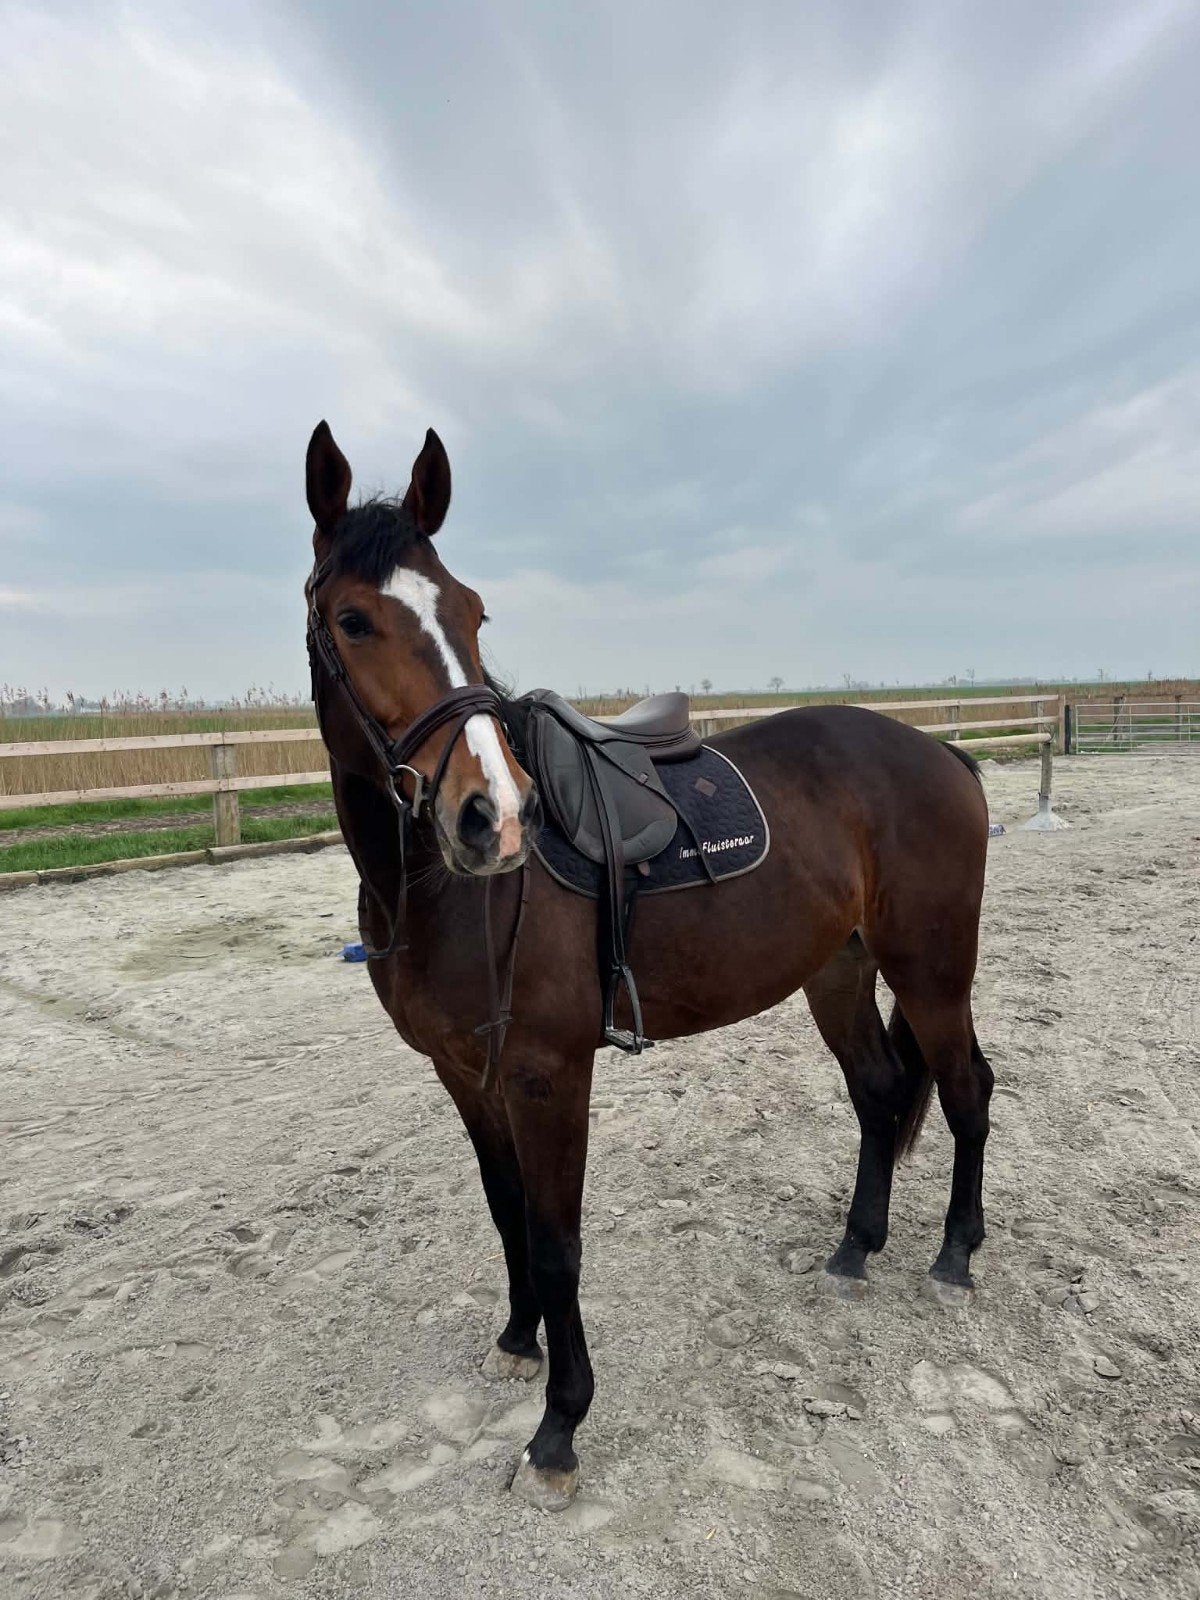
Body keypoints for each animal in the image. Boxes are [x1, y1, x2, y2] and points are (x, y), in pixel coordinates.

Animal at [302, 420, 995, 1512]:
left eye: (470, 610)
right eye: (353, 618)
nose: (491, 816)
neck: (441, 890)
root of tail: (944, 755)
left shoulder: (548, 1073)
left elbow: (557, 1242)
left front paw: (561, 1425)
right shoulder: (465, 1073)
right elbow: (506, 1215)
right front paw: (517, 1342)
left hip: (932, 970)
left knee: (968, 1090)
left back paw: (956, 1253)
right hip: (838, 973)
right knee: (883, 1092)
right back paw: (855, 1247)